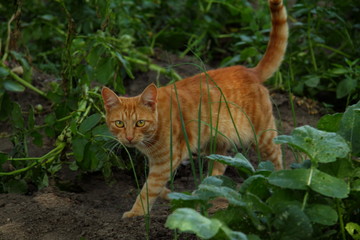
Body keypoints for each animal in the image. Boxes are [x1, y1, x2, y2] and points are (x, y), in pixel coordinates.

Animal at [101, 0, 286, 218]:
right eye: (119, 123)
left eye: (140, 123)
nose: (129, 138)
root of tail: (249, 71)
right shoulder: (158, 163)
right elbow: (154, 186)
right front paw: (168, 195)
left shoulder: (166, 161)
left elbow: (148, 190)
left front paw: (135, 214)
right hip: (214, 142)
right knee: (218, 168)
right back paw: (205, 193)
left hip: (263, 137)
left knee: (277, 160)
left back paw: (276, 186)